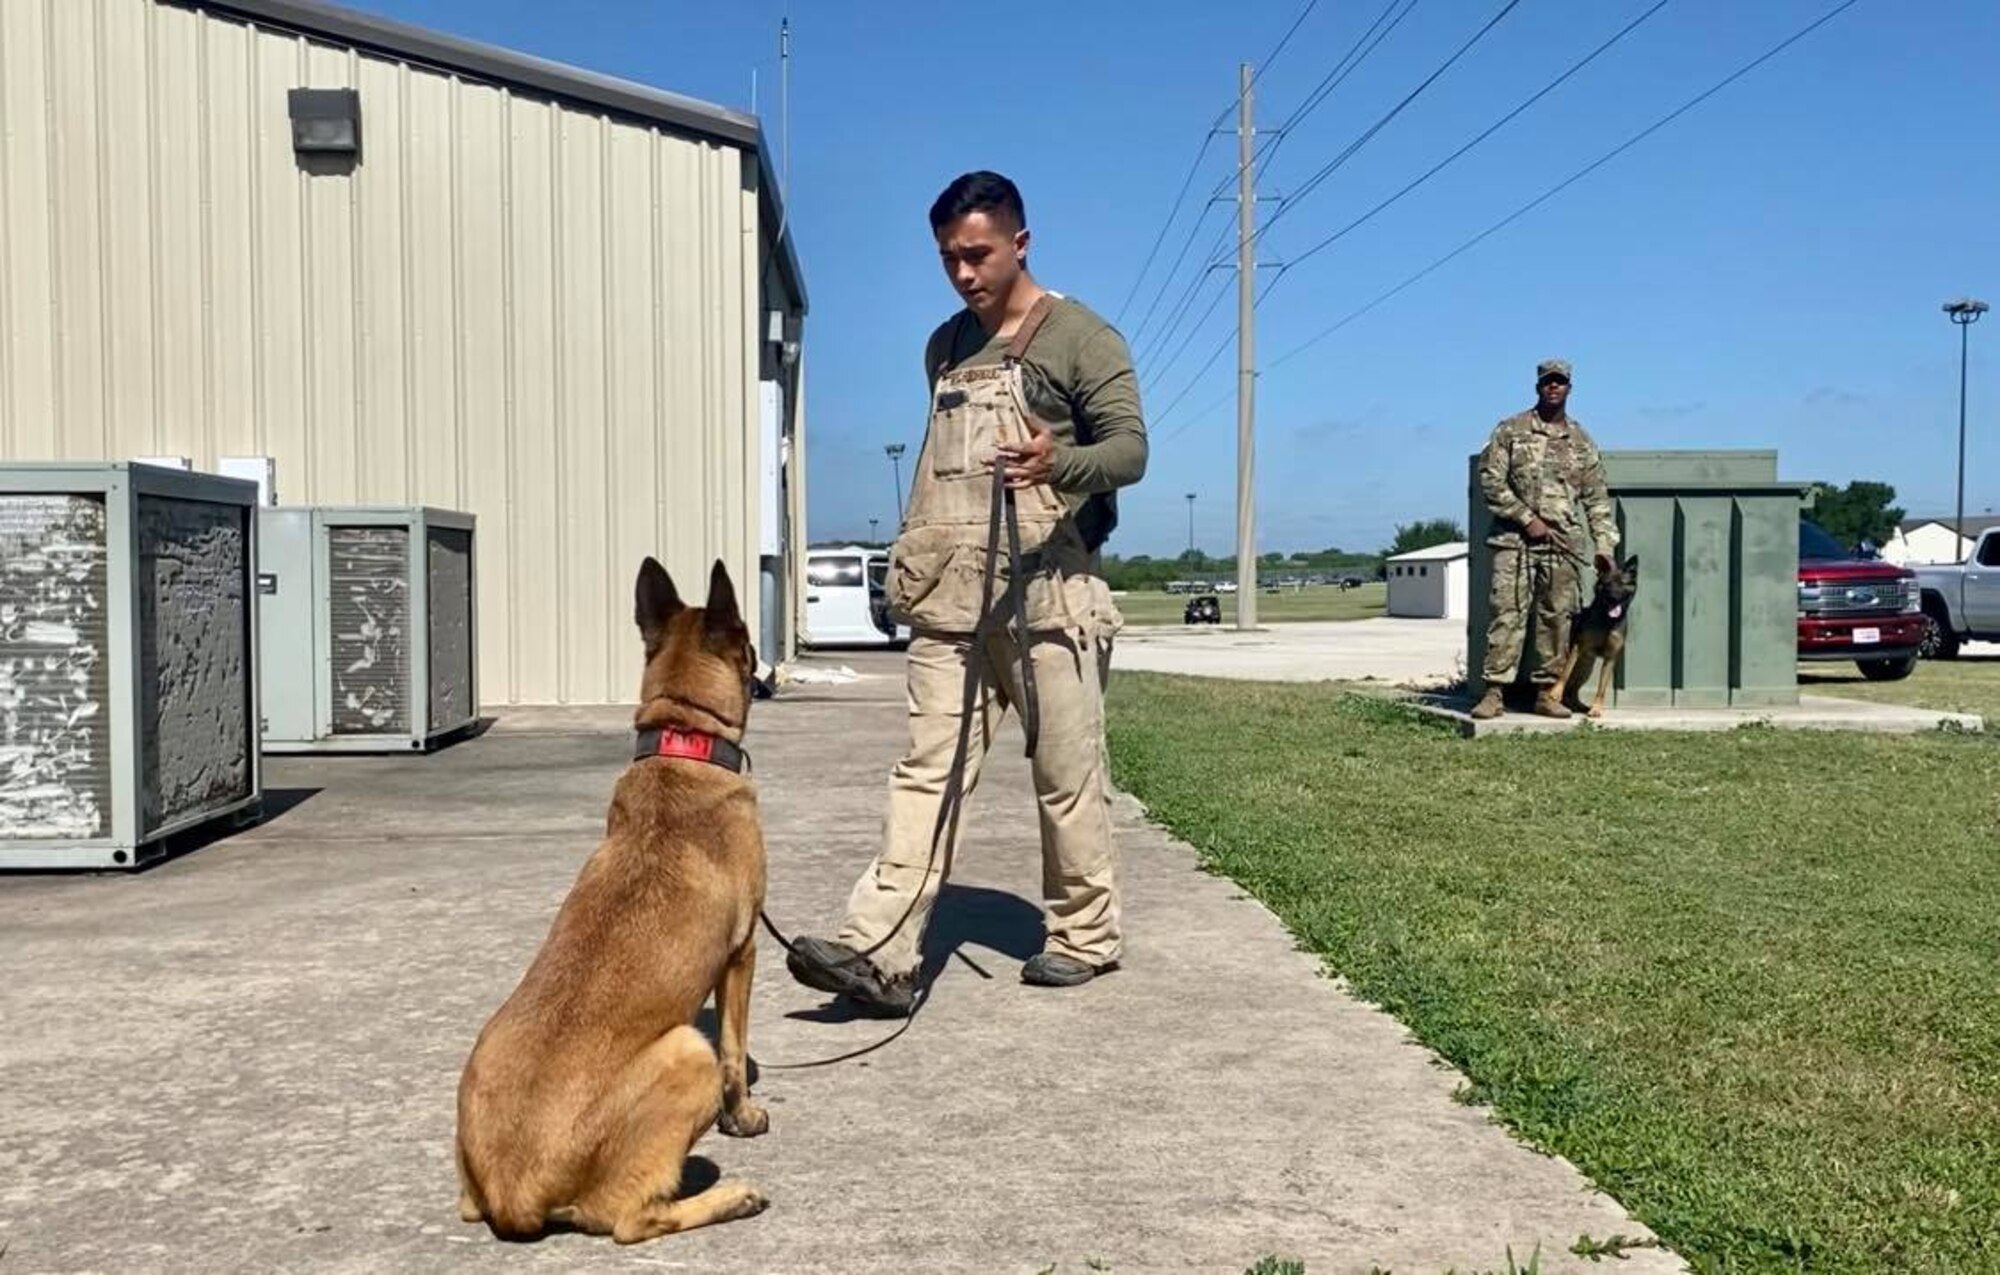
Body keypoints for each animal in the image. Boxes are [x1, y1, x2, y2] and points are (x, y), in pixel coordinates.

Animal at [458, 559, 768, 1247]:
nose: (767, 673)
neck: (683, 741)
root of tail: (514, 1194)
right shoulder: (742, 954)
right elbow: (735, 1051)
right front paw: (743, 1116)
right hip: (687, 1052)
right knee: (631, 1218)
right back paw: (731, 1197)